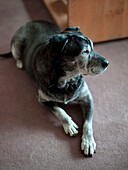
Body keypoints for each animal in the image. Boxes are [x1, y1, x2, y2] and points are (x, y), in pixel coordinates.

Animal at [0, 20, 109, 157]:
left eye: (93, 48)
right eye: (85, 51)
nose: (107, 63)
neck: (66, 80)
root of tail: (30, 22)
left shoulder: (87, 98)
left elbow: (88, 123)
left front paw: (88, 141)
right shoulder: (43, 101)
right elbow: (59, 110)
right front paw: (69, 125)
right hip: (17, 44)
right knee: (17, 55)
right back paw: (20, 63)